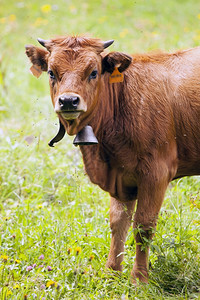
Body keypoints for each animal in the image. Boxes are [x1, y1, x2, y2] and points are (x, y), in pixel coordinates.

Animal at [25, 36, 200, 282]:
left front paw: (139, 279)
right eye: (51, 72)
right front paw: (112, 271)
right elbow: (118, 222)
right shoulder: (121, 176)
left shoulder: (157, 172)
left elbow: (143, 226)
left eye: (94, 72)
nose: (68, 101)